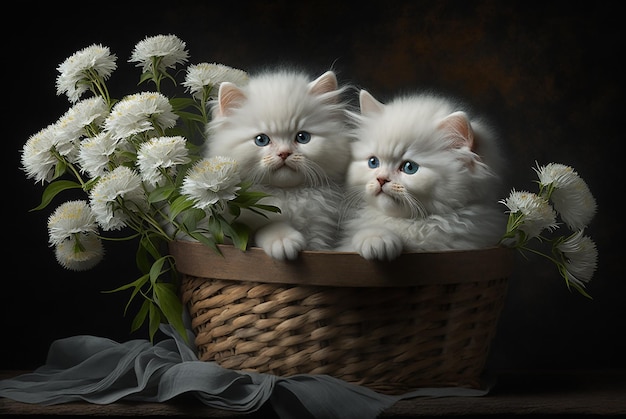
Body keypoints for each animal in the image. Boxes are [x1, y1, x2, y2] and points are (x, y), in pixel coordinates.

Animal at [205, 69, 352, 260]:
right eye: (261, 140)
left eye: (302, 137)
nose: (284, 153)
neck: (286, 196)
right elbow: (268, 226)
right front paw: (284, 241)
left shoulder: (319, 232)